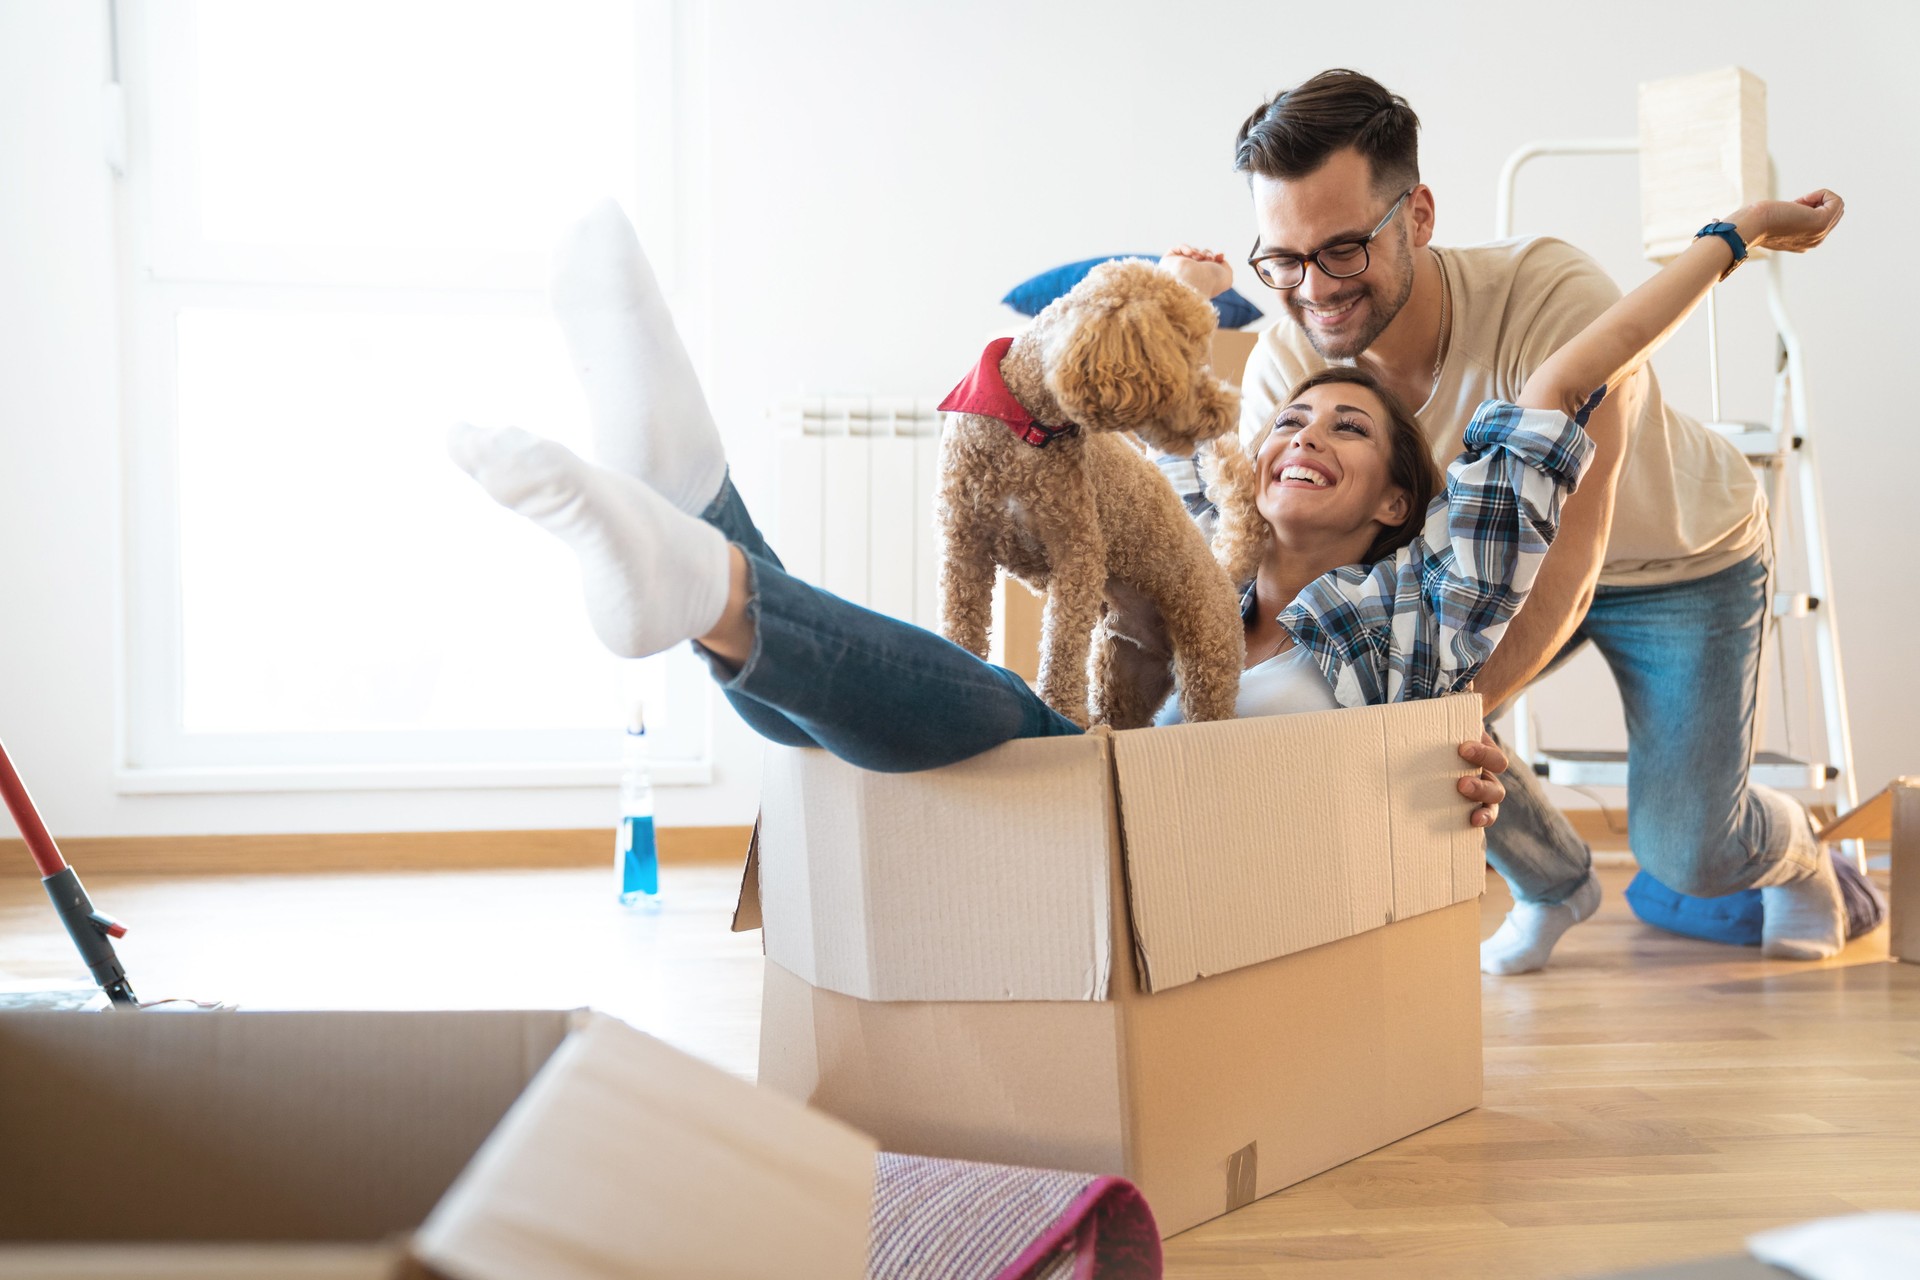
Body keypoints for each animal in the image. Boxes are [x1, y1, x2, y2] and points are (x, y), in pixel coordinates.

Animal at [936, 257, 1267, 729]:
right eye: (1186, 356)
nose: (1226, 411)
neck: (1029, 427)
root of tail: (1220, 570)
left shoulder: (1076, 555)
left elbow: (1062, 644)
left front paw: (1063, 710)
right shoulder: (965, 548)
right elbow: (962, 623)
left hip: (1208, 660)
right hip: (1125, 671)